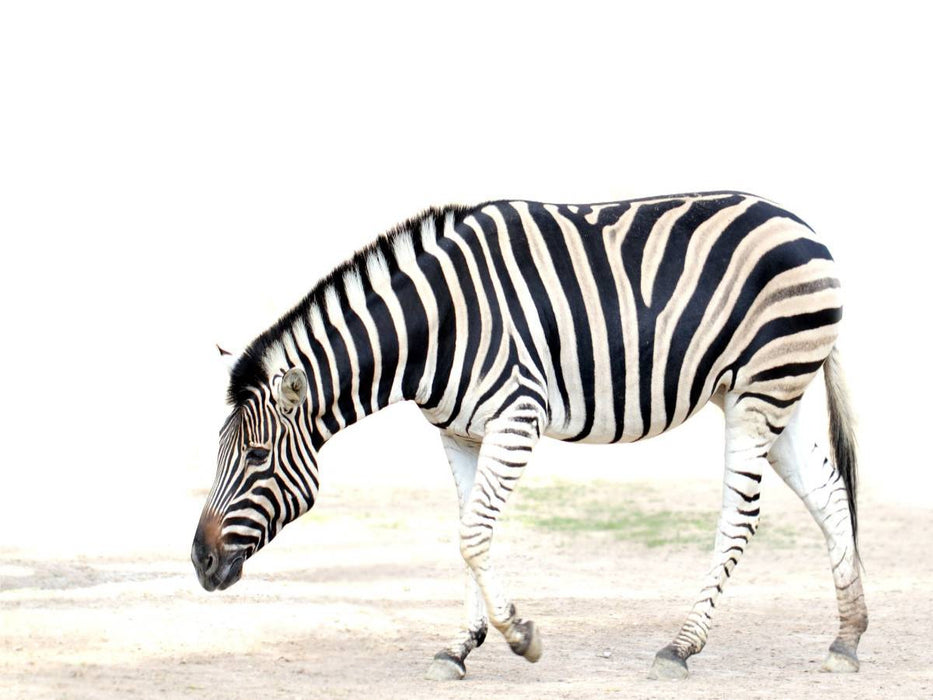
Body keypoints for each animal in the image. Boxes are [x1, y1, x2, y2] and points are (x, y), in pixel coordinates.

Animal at [191, 191, 867, 680]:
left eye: (255, 455)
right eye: (220, 451)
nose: (199, 561)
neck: (435, 326)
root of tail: (800, 223)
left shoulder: (518, 415)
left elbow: (473, 533)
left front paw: (520, 636)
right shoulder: (459, 433)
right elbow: (469, 531)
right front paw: (459, 647)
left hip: (760, 389)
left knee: (741, 514)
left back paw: (680, 647)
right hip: (775, 392)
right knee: (830, 495)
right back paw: (847, 637)